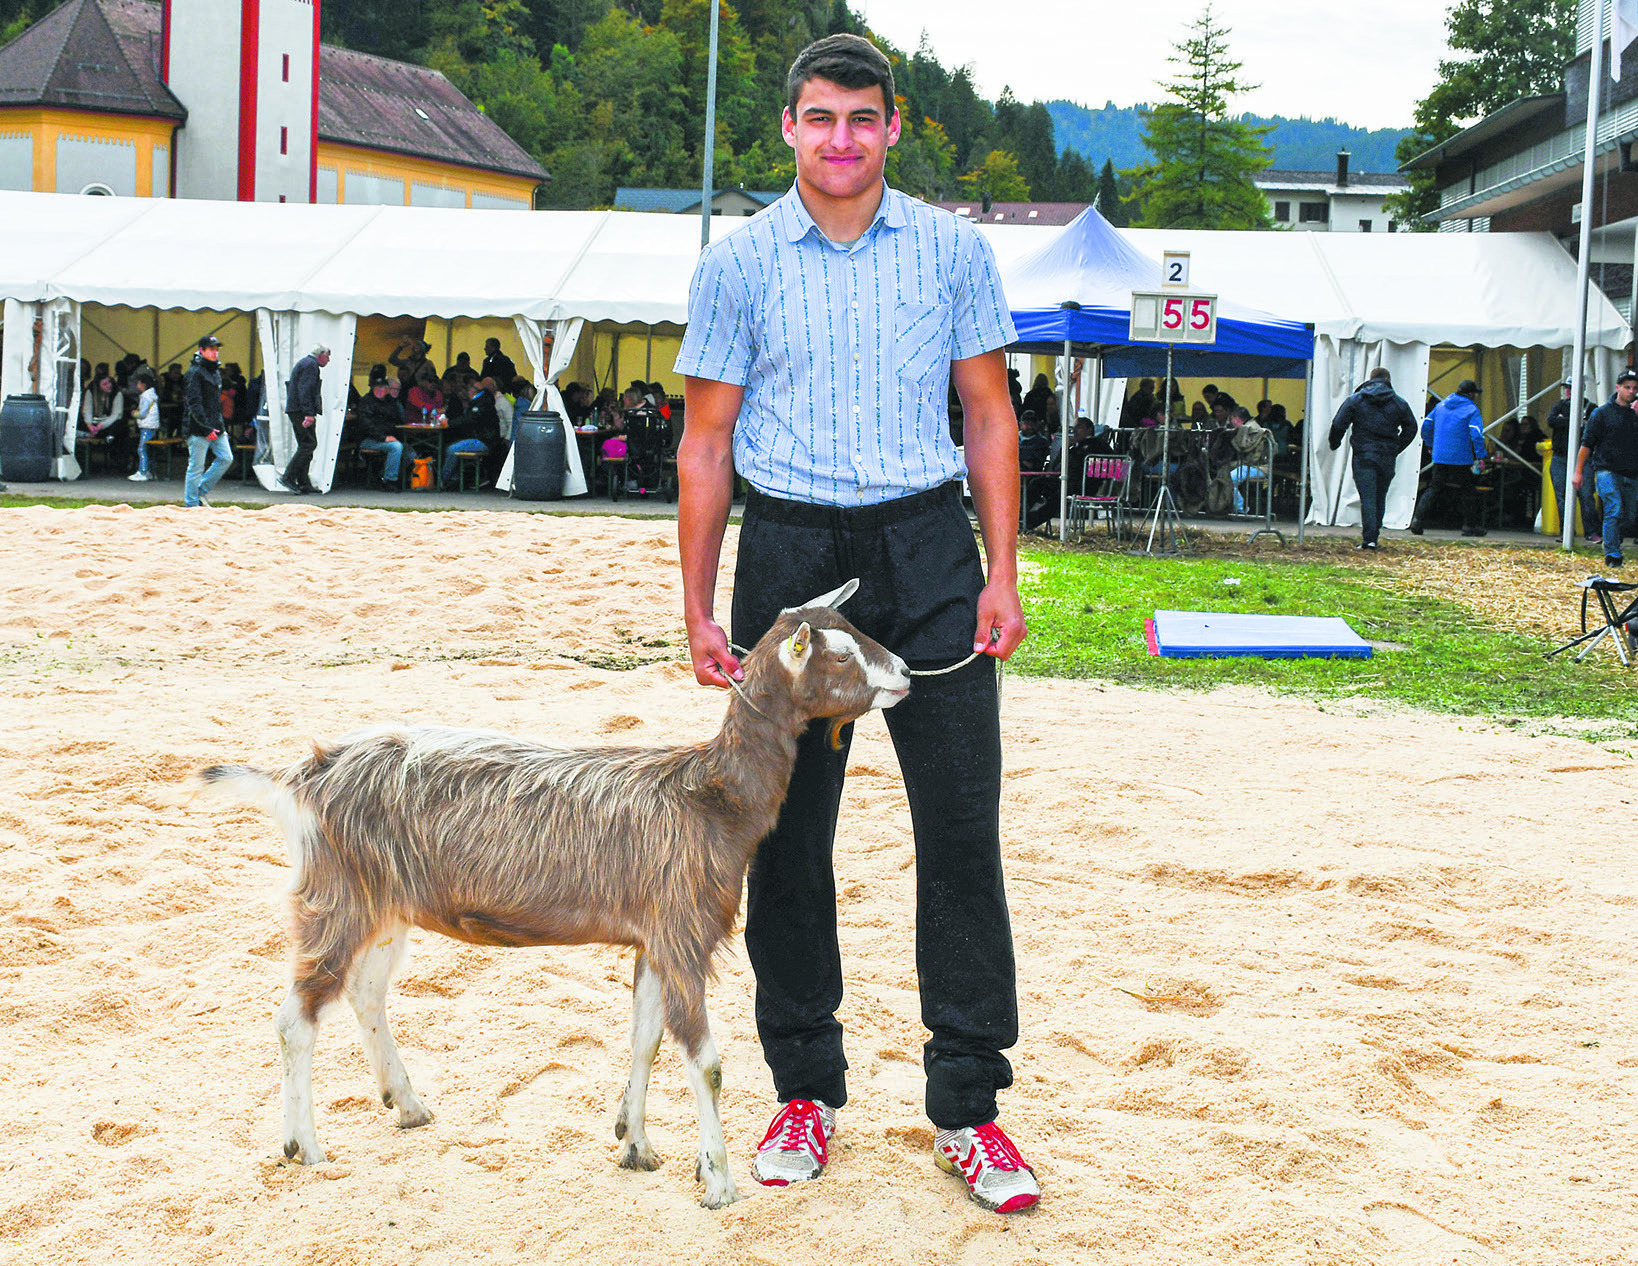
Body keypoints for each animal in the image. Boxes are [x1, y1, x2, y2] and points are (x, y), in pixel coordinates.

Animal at [201, 576, 910, 1211]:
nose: (905, 672)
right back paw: (305, 1146)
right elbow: (703, 1058)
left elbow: (645, 1037)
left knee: (364, 992)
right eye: (839, 654)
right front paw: (718, 1181)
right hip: (336, 901)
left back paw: (406, 1105)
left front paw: (636, 1145)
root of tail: (300, 778)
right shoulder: (681, 933)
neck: (709, 797)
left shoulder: (652, 938)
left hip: (383, 907)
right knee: (296, 1017)